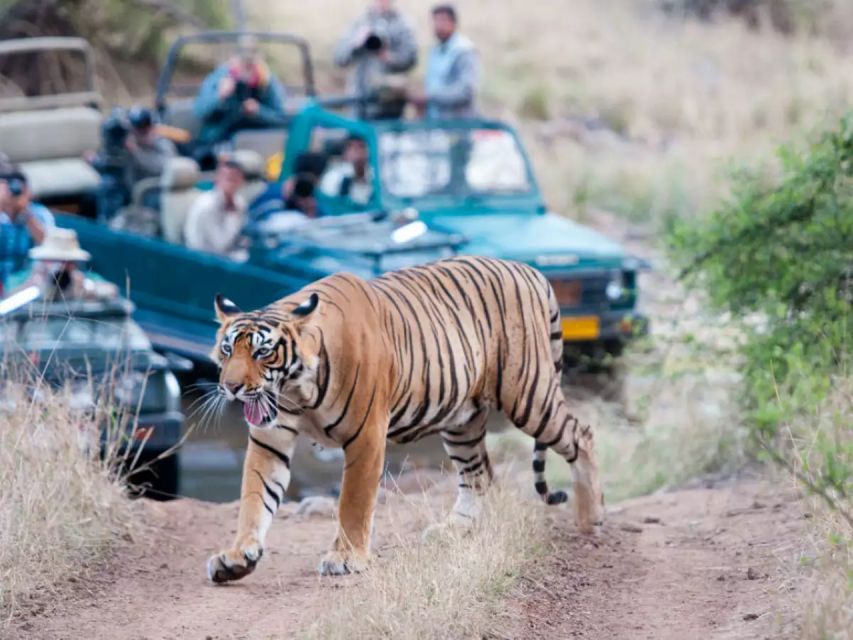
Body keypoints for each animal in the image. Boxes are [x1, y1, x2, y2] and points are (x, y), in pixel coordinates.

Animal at [206, 252, 604, 584]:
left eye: (262, 352)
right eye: (227, 350)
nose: (231, 387)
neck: (297, 390)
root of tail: (529, 269)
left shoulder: (366, 436)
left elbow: (353, 502)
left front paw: (345, 558)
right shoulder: (270, 439)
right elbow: (255, 497)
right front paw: (237, 557)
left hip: (528, 395)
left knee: (581, 435)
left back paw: (591, 520)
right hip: (462, 420)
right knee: (479, 474)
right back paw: (453, 530)